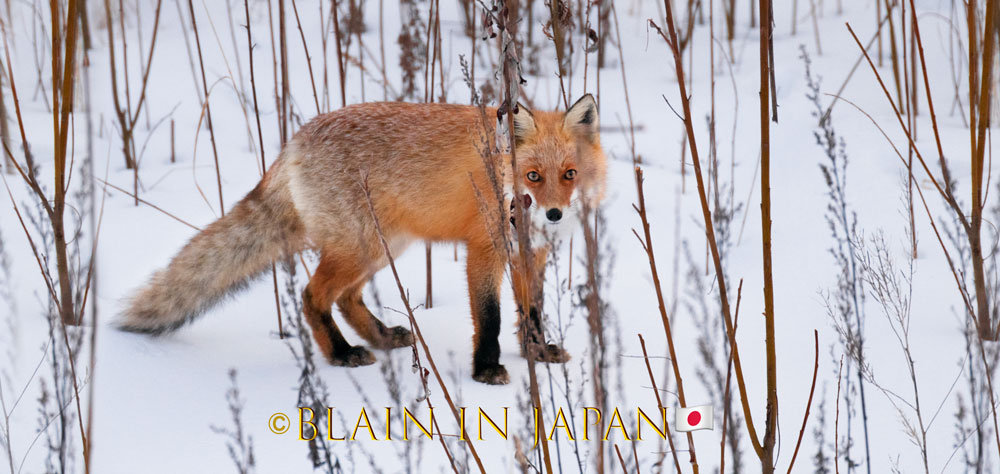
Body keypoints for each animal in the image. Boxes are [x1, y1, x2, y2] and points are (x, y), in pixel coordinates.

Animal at [119, 94, 600, 384]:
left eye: (569, 175)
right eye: (532, 176)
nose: (553, 215)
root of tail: (294, 141)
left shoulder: (532, 256)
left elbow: (531, 312)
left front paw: (537, 352)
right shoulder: (483, 250)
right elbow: (491, 318)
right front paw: (486, 369)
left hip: (381, 248)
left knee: (347, 299)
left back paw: (382, 338)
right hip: (360, 248)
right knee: (313, 297)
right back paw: (342, 353)